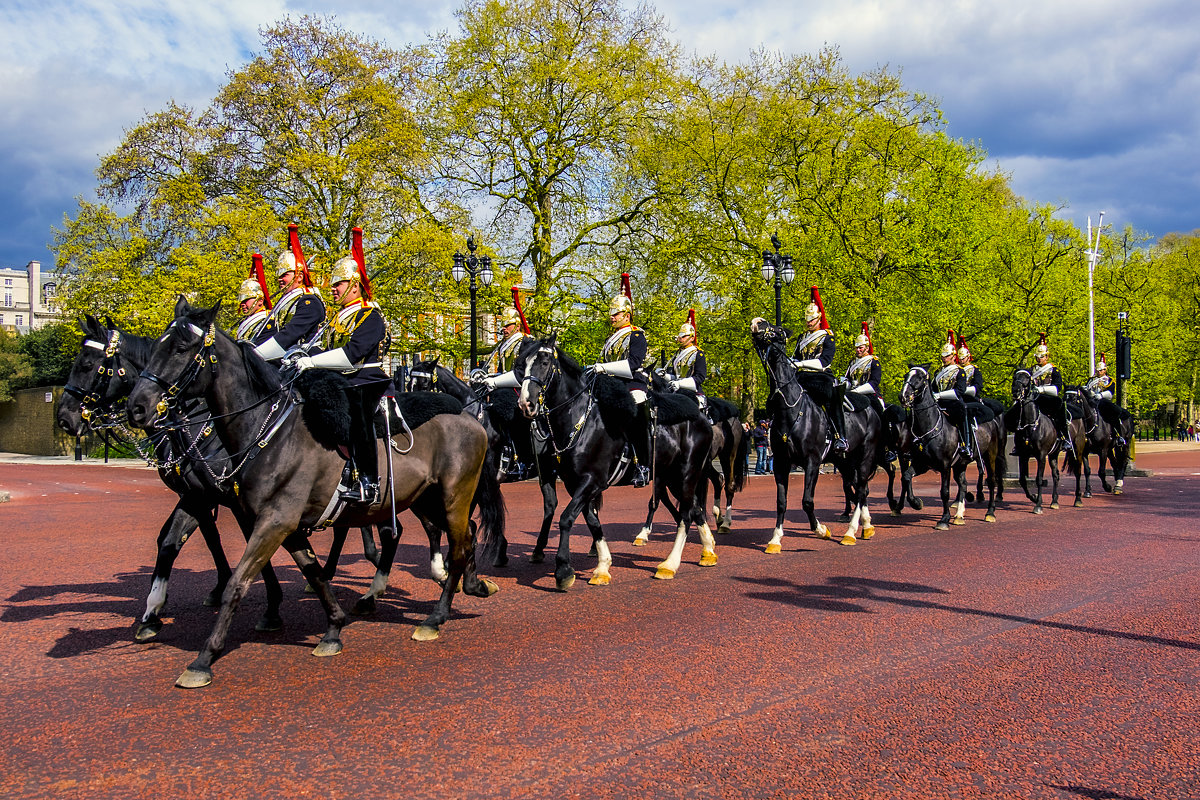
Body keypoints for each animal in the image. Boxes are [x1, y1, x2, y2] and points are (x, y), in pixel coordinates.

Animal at [129, 299, 504, 690]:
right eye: (156, 348)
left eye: (182, 348)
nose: (136, 408)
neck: (268, 433)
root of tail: (470, 417)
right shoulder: (278, 522)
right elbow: (313, 572)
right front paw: (333, 630)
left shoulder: (272, 521)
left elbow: (239, 581)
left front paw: (204, 658)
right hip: (425, 499)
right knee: (457, 536)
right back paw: (462, 587)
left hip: (453, 497)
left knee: (457, 546)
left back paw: (435, 617)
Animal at [405, 359, 559, 566]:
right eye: (409, 385)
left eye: (423, 385)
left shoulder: (483, 479)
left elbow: (483, 512)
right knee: (552, 504)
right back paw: (539, 550)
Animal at [513, 333, 710, 587]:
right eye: (522, 365)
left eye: (545, 362)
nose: (526, 404)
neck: (580, 421)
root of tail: (701, 417)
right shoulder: (576, 484)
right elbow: (592, 521)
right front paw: (602, 566)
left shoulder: (591, 481)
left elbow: (567, 518)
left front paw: (564, 569)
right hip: (670, 477)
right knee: (694, 509)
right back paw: (708, 551)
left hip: (685, 474)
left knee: (686, 513)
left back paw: (669, 564)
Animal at [744, 319, 878, 551]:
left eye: (778, 330)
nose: (756, 322)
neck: (789, 408)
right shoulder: (781, 462)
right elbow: (781, 502)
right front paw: (775, 540)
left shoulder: (812, 461)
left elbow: (807, 501)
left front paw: (822, 530)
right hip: (845, 461)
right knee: (856, 489)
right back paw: (865, 525)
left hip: (865, 456)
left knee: (861, 490)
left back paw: (851, 532)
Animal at [1008, 369, 1065, 513]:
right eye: (1015, 376)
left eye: (1027, 378)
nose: (1015, 390)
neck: (1030, 425)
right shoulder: (1023, 455)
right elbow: (1022, 480)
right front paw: (1033, 498)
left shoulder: (1041, 456)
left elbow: (1039, 479)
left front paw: (1038, 505)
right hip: (1052, 455)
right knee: (1056, 475)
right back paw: (1054, 500)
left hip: (1053, 454)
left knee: (1055, 476)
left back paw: (1054, 501)